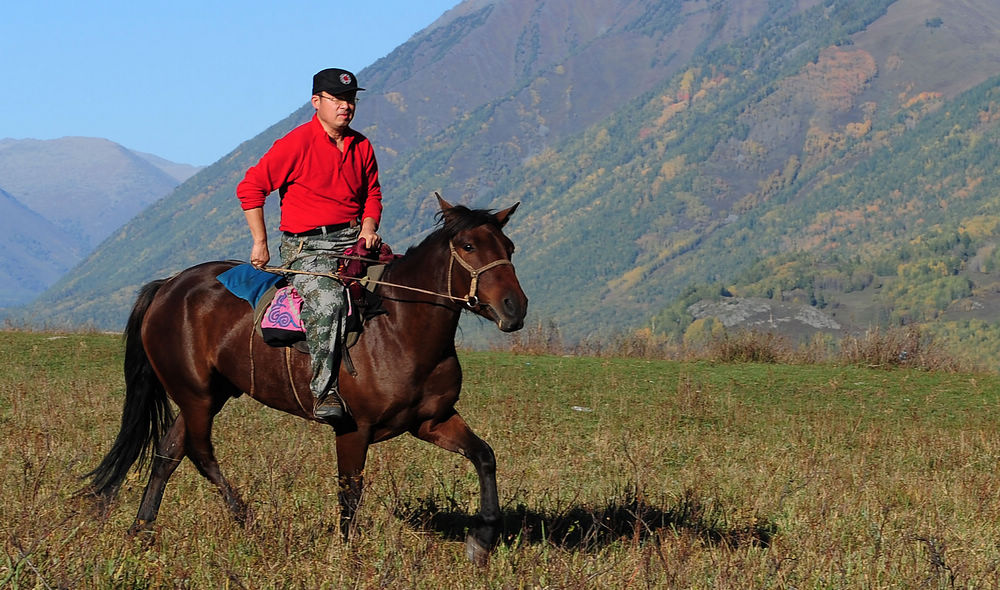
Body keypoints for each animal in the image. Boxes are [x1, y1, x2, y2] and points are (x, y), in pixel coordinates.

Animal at [84, 197, 532, 568]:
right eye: (469, 247)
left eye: (509, 248)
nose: (515, 307)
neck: (400, 327)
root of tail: (168, 286)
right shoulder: (353, 430)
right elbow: (351, 492)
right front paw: (348, 558)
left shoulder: (431, 421)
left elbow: (485, 457)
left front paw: (482, 540)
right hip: (196, 395)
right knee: (198, 451)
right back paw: (248, 519)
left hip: (210, 393)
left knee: (168, 453)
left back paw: (142, 529)